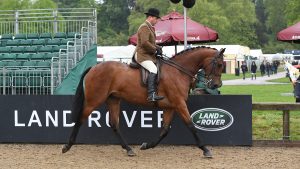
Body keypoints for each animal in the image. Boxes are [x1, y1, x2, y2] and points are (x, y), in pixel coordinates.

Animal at [61, 46, 225, 157]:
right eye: (219, 65)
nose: (216, 85)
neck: (178, 72)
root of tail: (94, 67)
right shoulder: (179, 104)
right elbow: (191, 126)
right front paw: (205, 149)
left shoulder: (170, 107)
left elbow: (165, 130)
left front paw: (146, 145)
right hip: (93, 100)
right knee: (80, 119)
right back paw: (67, 146)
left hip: (113, 99)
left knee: (114, 124)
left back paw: (129, 149)